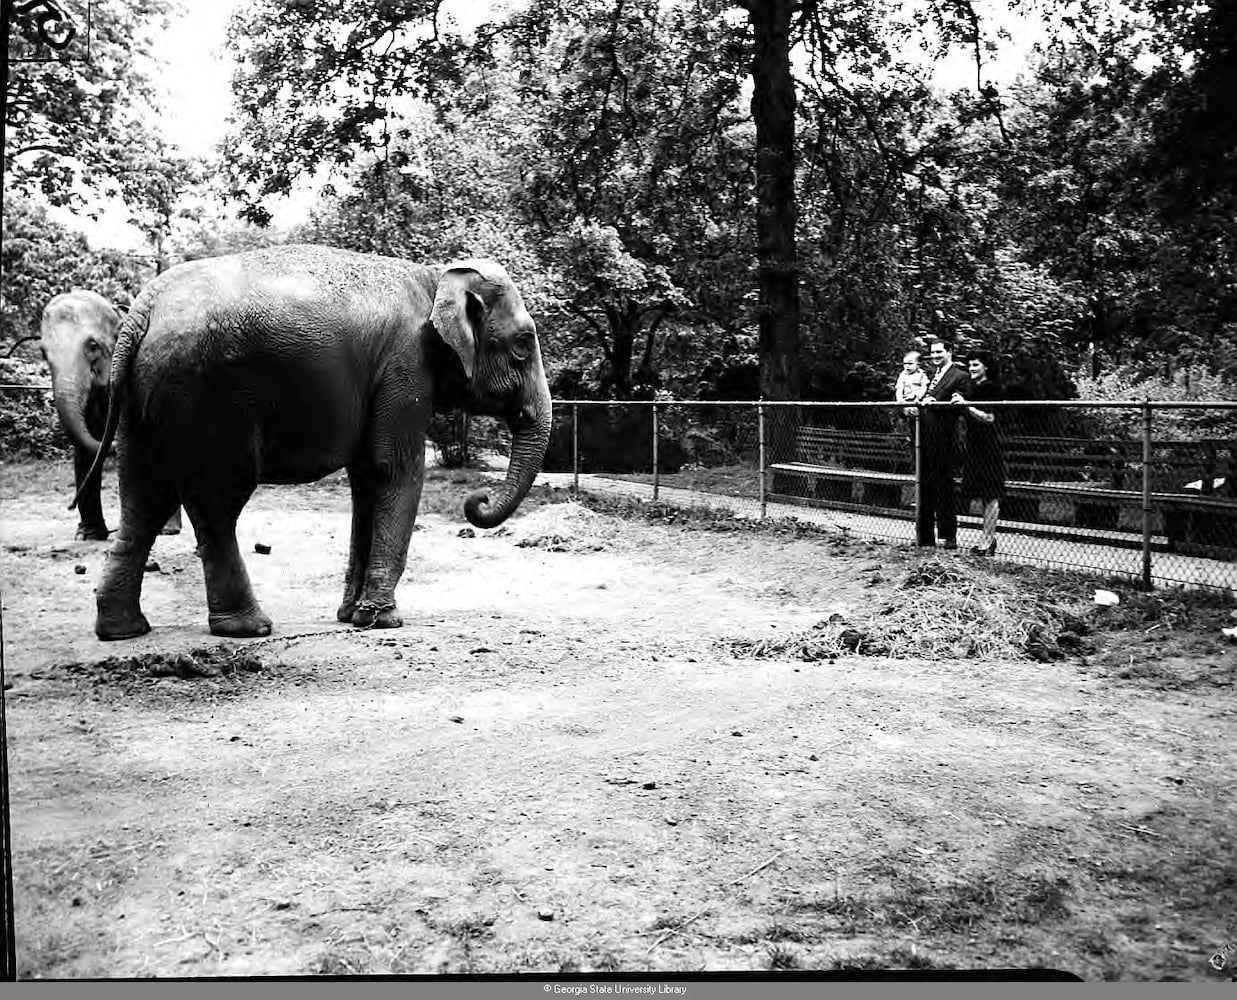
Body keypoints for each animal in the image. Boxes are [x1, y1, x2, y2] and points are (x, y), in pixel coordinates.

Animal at [41, 287, 181, 539]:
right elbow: (86, 445)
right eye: (43, 354)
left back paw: (167, 529)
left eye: (93, 346)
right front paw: (88, 535)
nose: (69, 506)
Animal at [79, 246, 554, 643]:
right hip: (206, 399)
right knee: (215, 502)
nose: (477, 500)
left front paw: (353, 616)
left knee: (143, 499)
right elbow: (394, 469)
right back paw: (249, 627)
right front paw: (383, 621)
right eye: (523, 343)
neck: (435, 277)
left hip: (140, 404)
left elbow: (367, 479)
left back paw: (123, 631)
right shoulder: (405, 366)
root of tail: (140, 314)